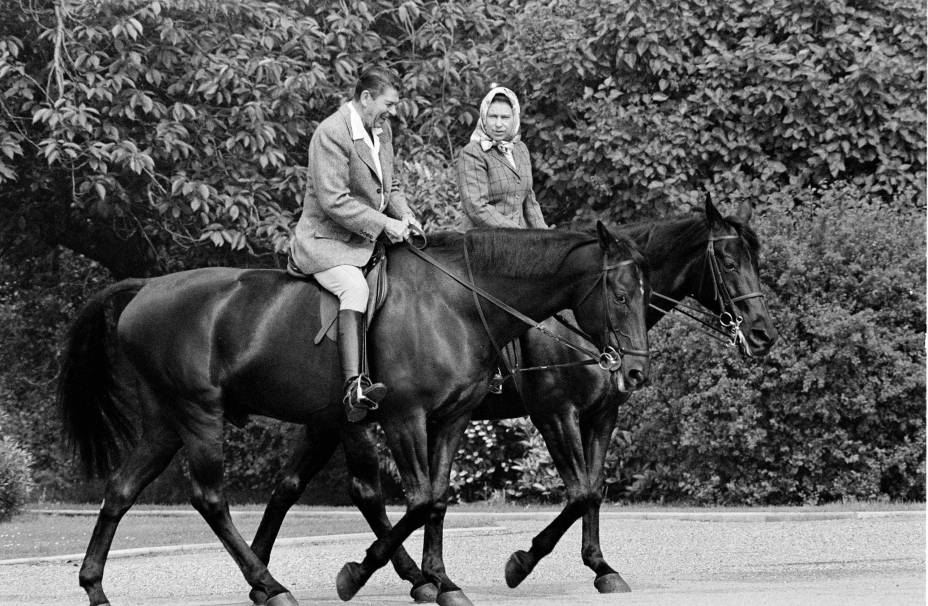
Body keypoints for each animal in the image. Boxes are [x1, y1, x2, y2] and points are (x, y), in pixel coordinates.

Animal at [59, 227, 652, 606]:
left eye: (644, 295)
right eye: (621, 295)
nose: (636, 372)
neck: (457, 303)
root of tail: (149, 288)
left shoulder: (451, 419)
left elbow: (438, 499)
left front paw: (441, 582)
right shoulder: (409, 418)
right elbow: (421, 500)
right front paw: (358, 574)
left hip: (168, 424)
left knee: (121, 489)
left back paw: (96, 586)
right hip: (200, 417)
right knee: (210, 499)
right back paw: (270, 585)